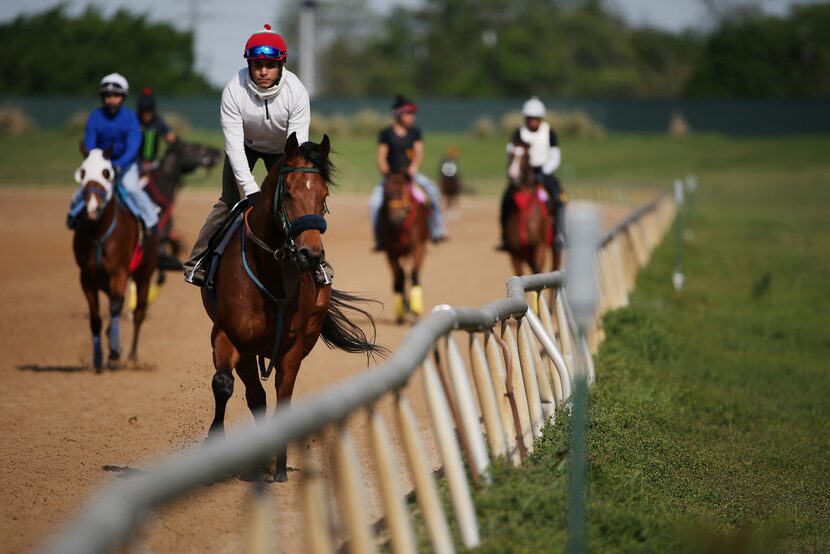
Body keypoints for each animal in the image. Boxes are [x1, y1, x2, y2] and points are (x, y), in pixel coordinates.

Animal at [75, 144, 161, 368]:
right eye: (83, 172)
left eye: (106, 173)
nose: (92, 207)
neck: (99, 232)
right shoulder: (86, 277)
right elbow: (95, 318)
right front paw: (98, 358)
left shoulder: (119, 271)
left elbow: (116, 305)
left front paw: (114, 351)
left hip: (144, 275)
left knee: (138, 313)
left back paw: (131, 355)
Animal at [203, 133, 386, 478]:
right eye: (288, 192)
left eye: (324, 195)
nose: (310, 254)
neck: (269, 274)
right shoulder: (227, 335)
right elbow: (223, 384)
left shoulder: (291, 348)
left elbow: (284, 398)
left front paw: (280, 467)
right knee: (254, 395)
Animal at [376, 172, 428, 324]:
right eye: (386, 193)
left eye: (401, 191)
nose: (395, 218)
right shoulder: (391, 252)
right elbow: (400, 278)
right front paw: (401, 309)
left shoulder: (417, 247)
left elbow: (414, 274)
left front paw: (415, 309)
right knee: (401, 277)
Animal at [504, 136, 556, 274]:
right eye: (510, 154)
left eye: (525, 157)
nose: (513, 175)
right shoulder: (515, 252)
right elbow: (520, 273)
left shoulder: (539, 246)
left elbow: (538, 271)